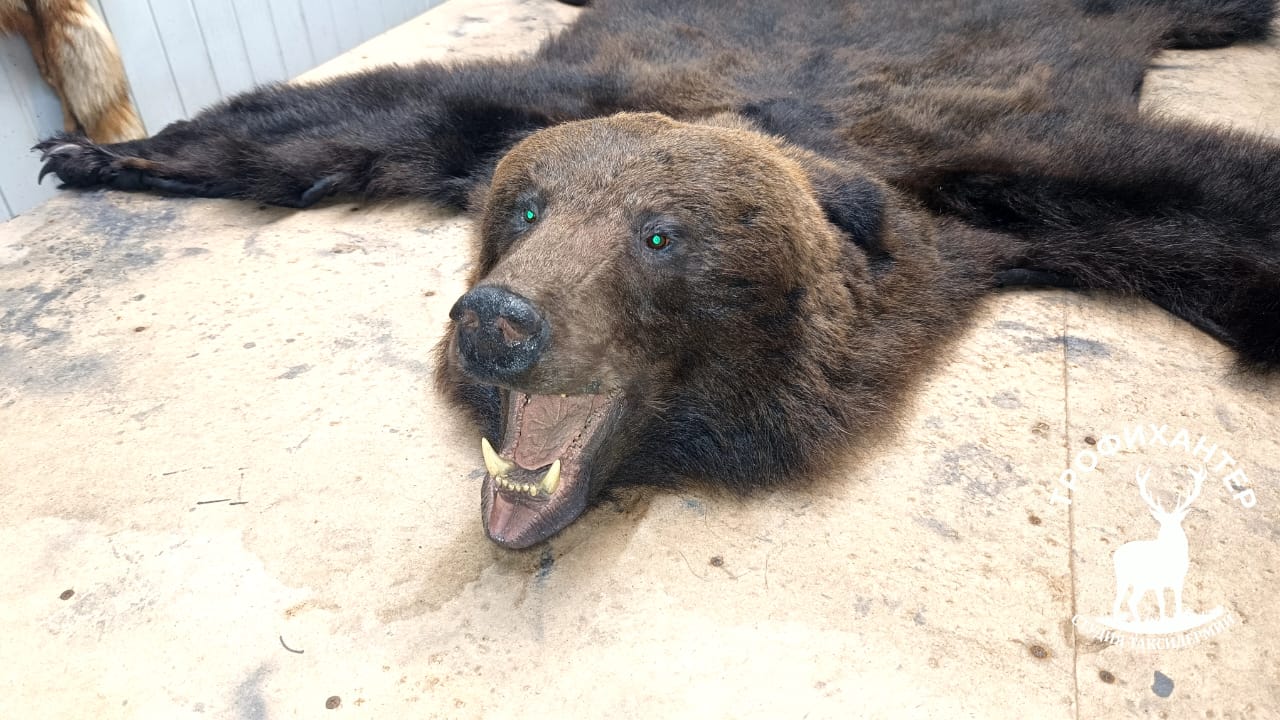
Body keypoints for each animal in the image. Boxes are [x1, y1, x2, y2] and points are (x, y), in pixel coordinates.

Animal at [32, 0, 1280, 548]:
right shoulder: (542, 104)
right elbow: (356, 114)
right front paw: (104, 151)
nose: (498, 318)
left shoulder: (994, 173)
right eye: (527, 206)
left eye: (659, 236)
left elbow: (1216, 194)